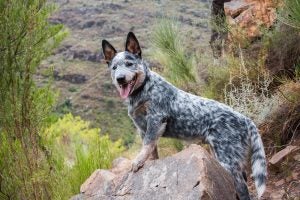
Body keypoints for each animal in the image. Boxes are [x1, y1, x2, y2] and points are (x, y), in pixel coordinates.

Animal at [101, 32, 268, 199]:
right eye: (114, 67)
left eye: (129, 64)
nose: (120, 79)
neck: (143, 90)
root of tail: (245, 119)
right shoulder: (143, 128)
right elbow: (151, 151)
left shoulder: (156, 119)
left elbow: (147, 145)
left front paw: (137, 162)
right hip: (220, 154)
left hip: (229, 160)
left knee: (243, 189)